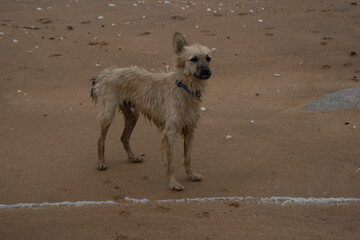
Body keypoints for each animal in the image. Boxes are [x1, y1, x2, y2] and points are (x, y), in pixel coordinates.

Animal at [90, 31, 211, 190]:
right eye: (194, 59)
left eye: (208, 58)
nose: (207, 72)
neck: (184, 88)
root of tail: (103, 74)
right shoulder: (170, 133)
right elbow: (171, 163)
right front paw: (173, 183)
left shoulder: (190, 130)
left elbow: (188, 158)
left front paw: (191, 175)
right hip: (108, 114)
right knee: (100, 140)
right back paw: (101, 163)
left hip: (132, 115)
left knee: (124, 137)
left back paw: (133, 156)